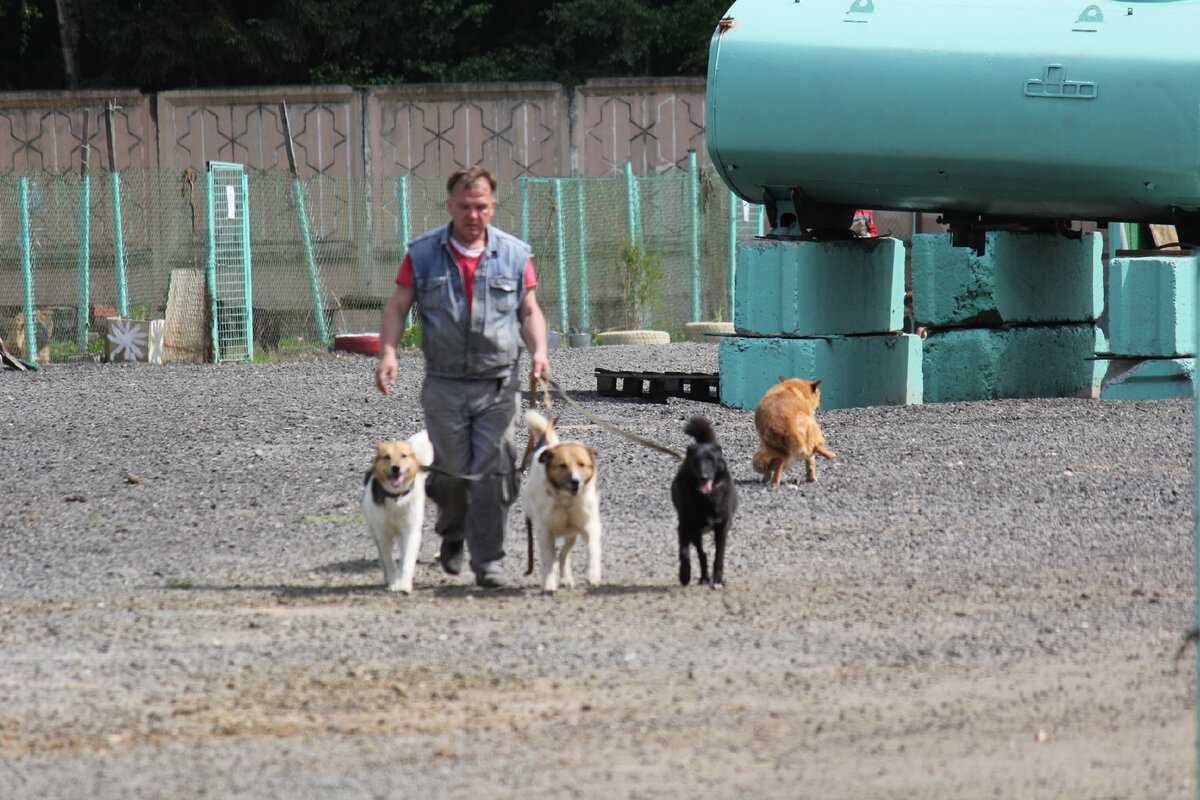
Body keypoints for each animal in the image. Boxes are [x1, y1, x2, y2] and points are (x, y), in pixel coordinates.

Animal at [362, 431, 434, 594]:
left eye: (403, 455)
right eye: (387, 457)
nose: (396, 468)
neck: (396, 498)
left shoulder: (411, 531)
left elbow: (407, 560)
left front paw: (404, 584)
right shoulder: (382, 534)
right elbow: (388, 560)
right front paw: (393, 582)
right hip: (373, 529)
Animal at [523, 410, 604, 592]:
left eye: (582, 464)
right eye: (562, 465)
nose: (575, 481)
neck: (566, 501)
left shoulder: (589, 525)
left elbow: (592, 549)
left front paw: (592, 574)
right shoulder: (544, 531)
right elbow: (549, 560)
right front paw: (549, 583)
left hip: (571, 533)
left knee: (564, 554)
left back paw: (566, 578)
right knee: (557, 556)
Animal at [672, 417, 734, 585]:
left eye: (712, 460)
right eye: (696, 461)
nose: (704, 476)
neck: (706, 499)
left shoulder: (722, 527)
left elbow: (719, 555)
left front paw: (718, 579)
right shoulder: (685, 526)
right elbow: (684, 553)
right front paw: (684, 575)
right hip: (695, 532)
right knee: (702, 554)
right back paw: (704, 577)